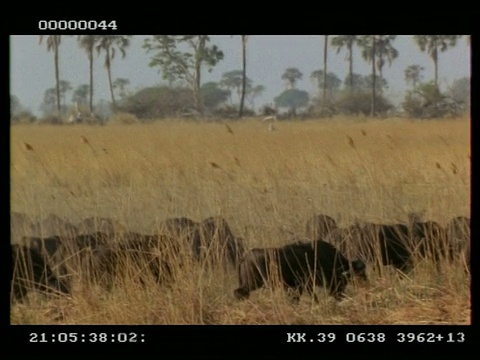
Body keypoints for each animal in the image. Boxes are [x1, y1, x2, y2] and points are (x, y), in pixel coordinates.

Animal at [234, 239, 366, 304]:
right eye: (345, 279)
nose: (341, 296)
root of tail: (244, 257)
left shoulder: (296, 286)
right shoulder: (305, 284)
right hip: (252, 283)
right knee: (238, 293)